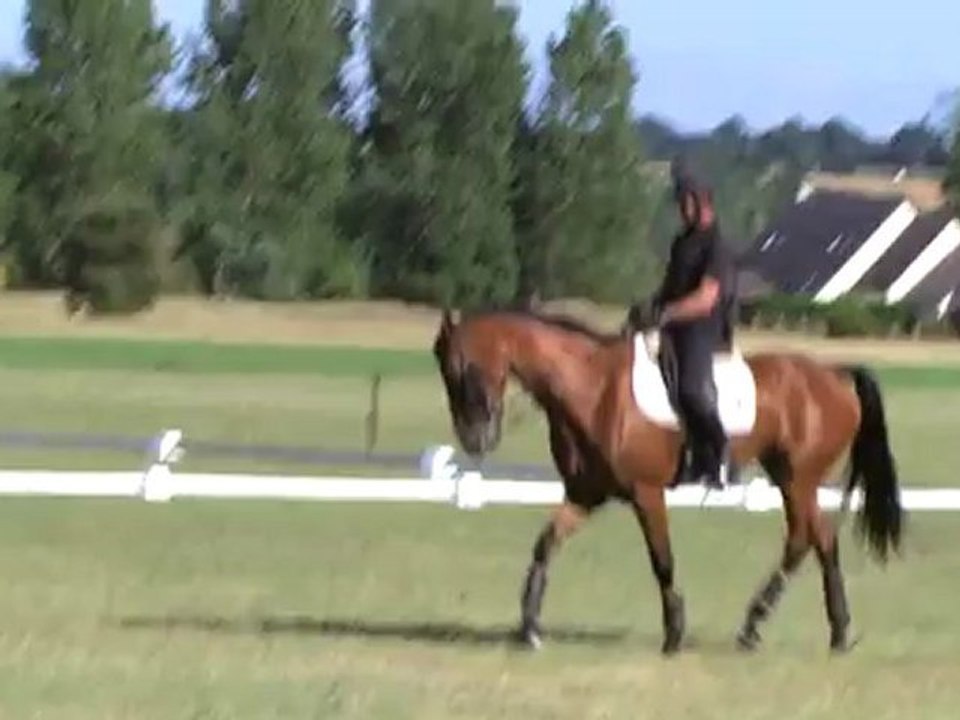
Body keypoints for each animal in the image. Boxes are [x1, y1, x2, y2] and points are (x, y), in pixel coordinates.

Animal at [431, 307, 903, 655]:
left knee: (803, 537)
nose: (474, 440)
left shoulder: (646, 493)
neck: (593, 390)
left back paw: (755, 625)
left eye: (461, 370)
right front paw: (529, 628)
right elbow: (545, 546)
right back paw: (835, 633)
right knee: (820, 538)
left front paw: (674, 633)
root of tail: (836, 374)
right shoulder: (585, 494)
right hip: (792, 477)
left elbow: (663, 560)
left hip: (797, 477)